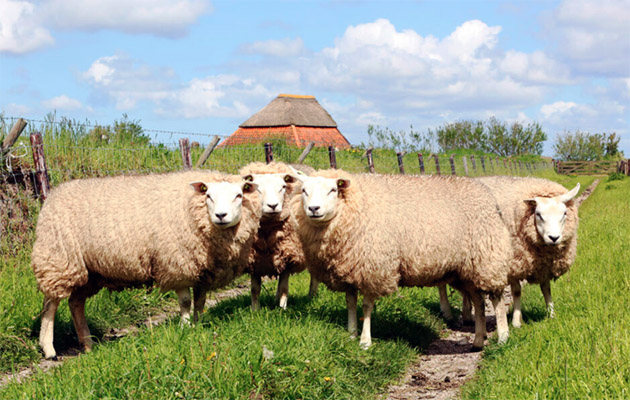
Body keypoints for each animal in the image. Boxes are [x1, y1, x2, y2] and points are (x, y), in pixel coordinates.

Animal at [30, 170, 260, 358]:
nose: (221, 216)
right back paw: (49, 349)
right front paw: (185, 327)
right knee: (50, 304)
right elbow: (186, 301)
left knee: (75, 303)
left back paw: (88, 345)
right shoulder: (177, 263)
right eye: (208, 196)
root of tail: (52, 196)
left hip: (90, 272)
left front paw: (197, 324)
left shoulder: (203, 270)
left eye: (239, 196)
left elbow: (200, 301)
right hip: (59, 259)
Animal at [238, 162, 316, 310]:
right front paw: (255, 310)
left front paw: (282, 310)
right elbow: (255, 289)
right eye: (257, 189)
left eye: (283, 187)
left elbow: (284, 288)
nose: (273, 206)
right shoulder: (254, 259)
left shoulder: (288, 256)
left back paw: (311, 296)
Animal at [294, 170, 516, 350]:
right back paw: (478, 340)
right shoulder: (350, 269)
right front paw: (351, 334)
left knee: (496, 299)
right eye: (304, 190)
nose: (313, 209)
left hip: (487, 258)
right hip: (465, 270)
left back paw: (503, 337)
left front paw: (365, 342)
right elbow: (350, 304)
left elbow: (366, 307)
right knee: (478, 301)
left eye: (332, 190)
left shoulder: (374, 267)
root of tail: (487, 195)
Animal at [440, 177, 584, 328]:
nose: (554, 238)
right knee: (442, 285)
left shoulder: (543, 265)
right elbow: (516, 291)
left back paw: (467, 315)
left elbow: (546, 289)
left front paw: (551, 314)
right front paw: (516, 321)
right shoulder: (513, 264)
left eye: (564, 213)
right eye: (538, 214)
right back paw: (447, 313)